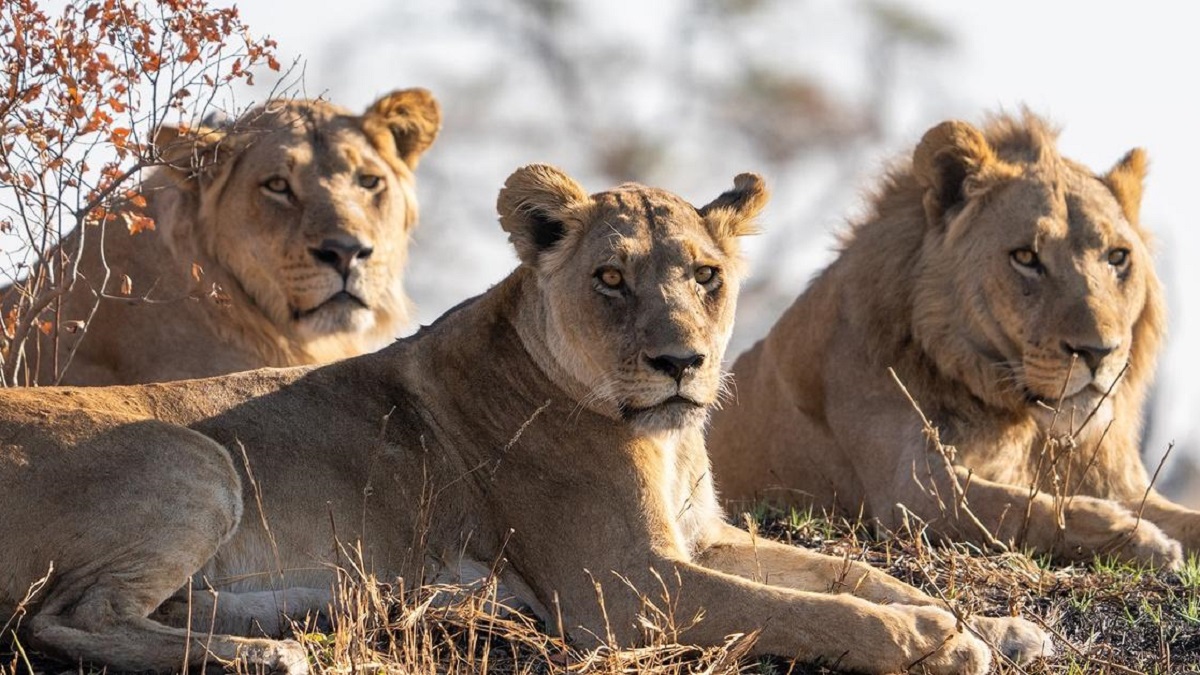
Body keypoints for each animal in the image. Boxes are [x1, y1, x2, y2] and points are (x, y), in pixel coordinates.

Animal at [0, 165, 1051, 674]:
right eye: (612, 277)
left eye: (705, 275)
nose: (682, 362)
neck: (664, 440)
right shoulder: (623, 585)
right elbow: (804, 609)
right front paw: (927, 641)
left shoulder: (701, 539)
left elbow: (852, 572)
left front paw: (988, 624)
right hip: (193, 458)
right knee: (64, 619)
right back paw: (267, 657)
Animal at [709, 111, 1199, 566]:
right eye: (1026, 258)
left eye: (1118, 257)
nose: (1098, 352)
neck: (1022, 421)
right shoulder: (911, 493)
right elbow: (1022, 509)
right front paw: (1142, 539)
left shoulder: (1122, 483)